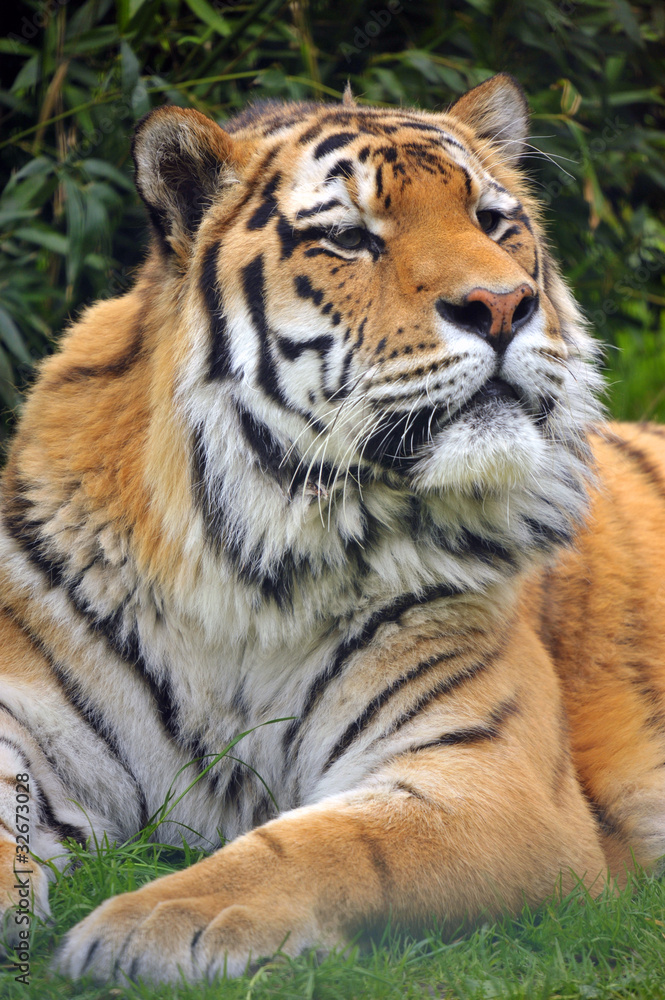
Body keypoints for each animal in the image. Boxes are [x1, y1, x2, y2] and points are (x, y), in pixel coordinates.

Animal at [0, 71, 663, 985]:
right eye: (350, 238)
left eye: (493, 222)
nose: (502, 305)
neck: (245, 568)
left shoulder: (492, 773)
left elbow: (332, 845)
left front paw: (152, 923)